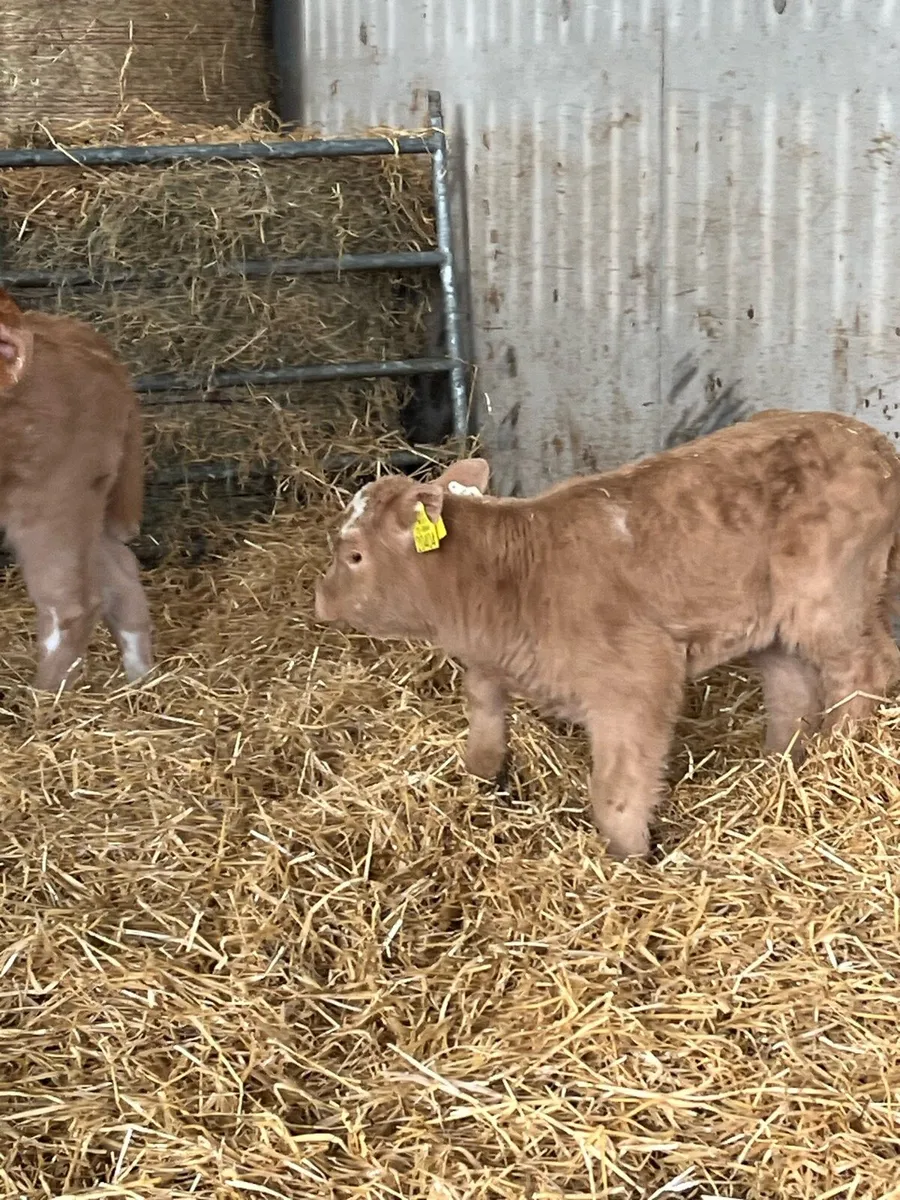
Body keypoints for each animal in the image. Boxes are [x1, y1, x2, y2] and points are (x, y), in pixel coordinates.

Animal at [0, 287, 153, 692]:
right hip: (84, 498)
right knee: (121, 577)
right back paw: (141, 684)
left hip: (50, 499)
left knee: (71, 604)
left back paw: (42, 699)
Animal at [314, 409, 900, 860]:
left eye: (355, 555)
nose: (320, 600)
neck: (510, 579)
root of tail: (867, 438)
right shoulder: (489, 665)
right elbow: (482, 735)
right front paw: (479, 791)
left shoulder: (639, 678)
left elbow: (616, 793)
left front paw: (629, 861)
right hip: (771, 622)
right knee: (792, 688)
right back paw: (779, 769)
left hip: (829, 599)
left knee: (865, 669)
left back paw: (835, 760)